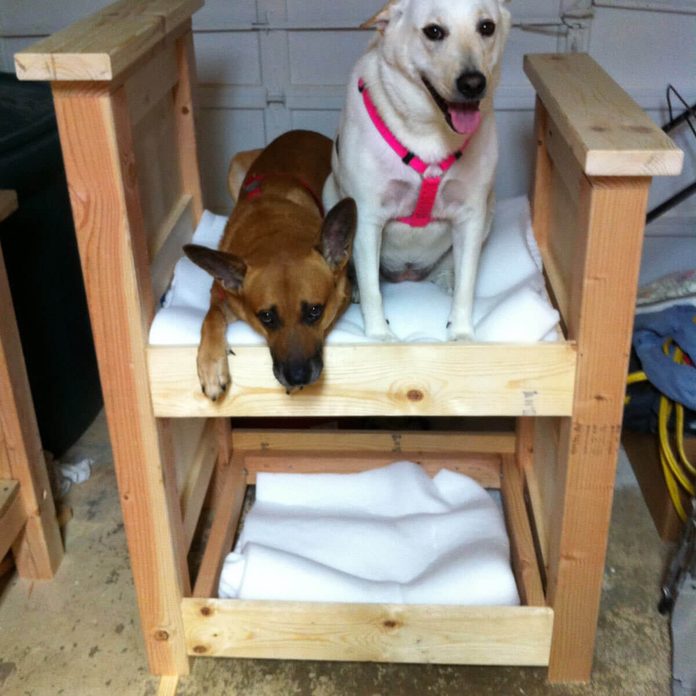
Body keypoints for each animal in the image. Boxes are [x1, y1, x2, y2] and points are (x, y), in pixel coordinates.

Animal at [184, 130, 354, 400]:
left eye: (314, 311)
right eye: (266, 317)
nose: (297, 376)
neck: (275, 234)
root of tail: (304, 132)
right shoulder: (222, 295)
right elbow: (210, 317)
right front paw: (210, 365)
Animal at [324, 0, 512, 340]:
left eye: (487, 27)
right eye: (433, 31)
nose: (473, 83)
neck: (430, 132)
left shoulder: (471, 216)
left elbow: (467, 285)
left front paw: (461, 334)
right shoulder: (367, 217)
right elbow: (372, 290)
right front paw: (378, 335)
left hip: (487, 216)